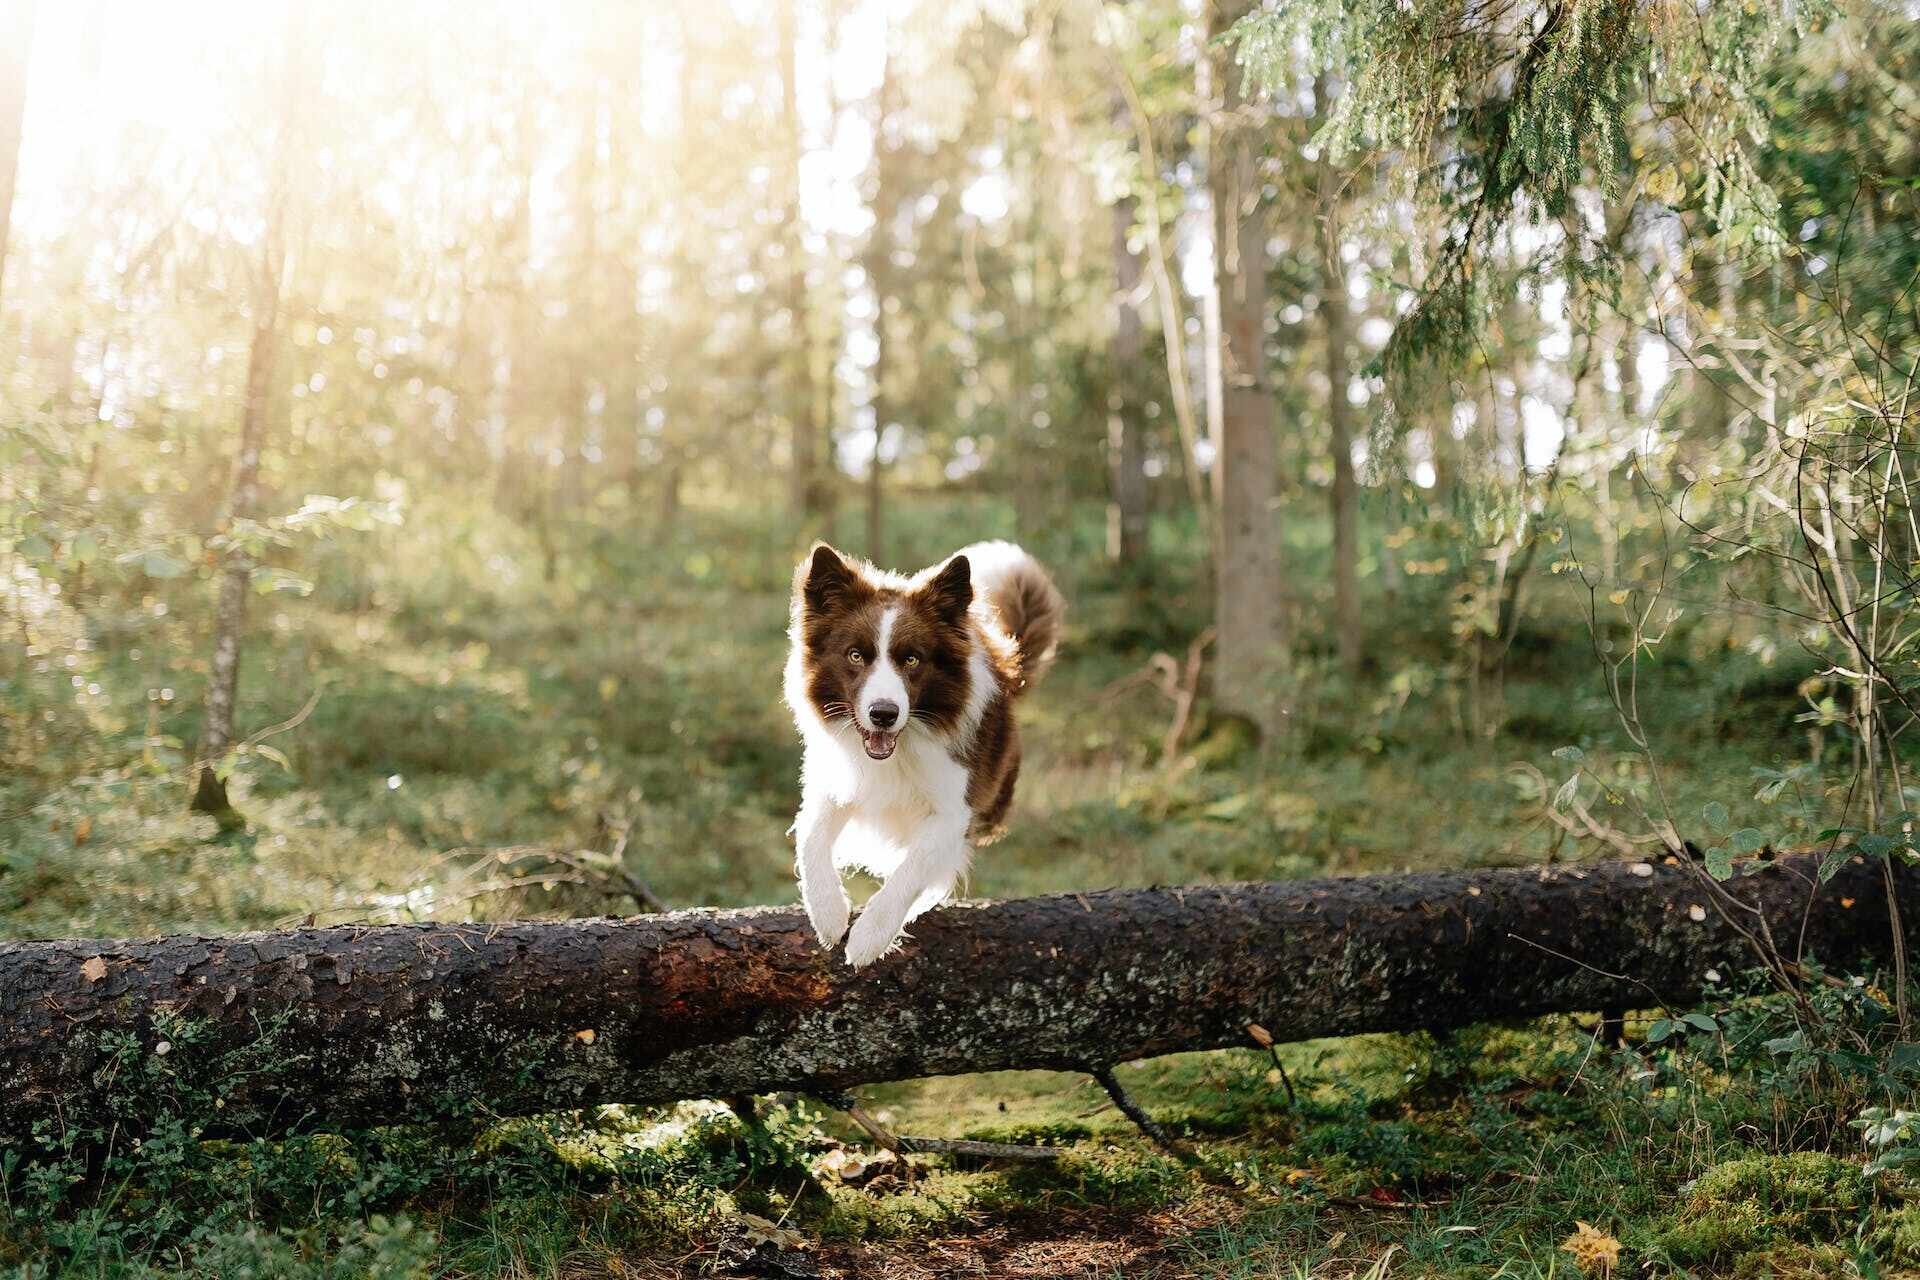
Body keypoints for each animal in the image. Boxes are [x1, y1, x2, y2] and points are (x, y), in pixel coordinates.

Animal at [787, 541, 1075, 971]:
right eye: (855, 656)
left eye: (912, 659)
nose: (883, 714)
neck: (896, 748)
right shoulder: (834, 779)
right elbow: (810, 838)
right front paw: (829, 914)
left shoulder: (954, 807)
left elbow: (915, 865)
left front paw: (870, 938)